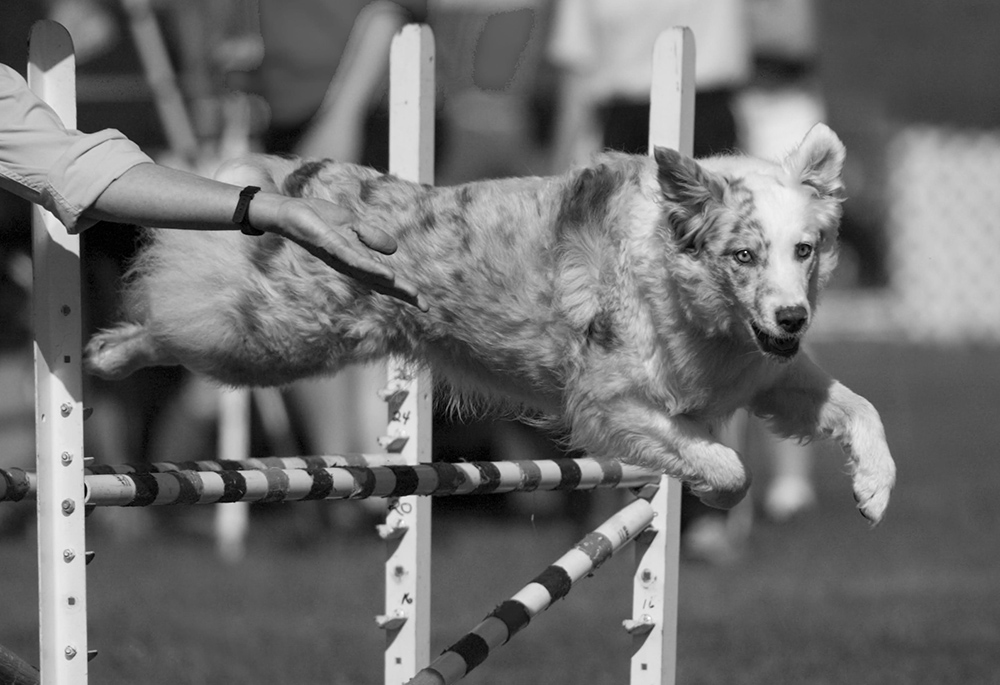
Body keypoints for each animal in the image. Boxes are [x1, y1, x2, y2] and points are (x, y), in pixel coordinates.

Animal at [84, 123, 900, 520]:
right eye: (742, 253)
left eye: (805, 248)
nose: (792, 316)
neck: (689, 297)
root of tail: (304, 179)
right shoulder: (608, 399)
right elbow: (727, 464)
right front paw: (712, 491)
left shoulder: (767, 373)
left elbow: (862, 409)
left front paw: (875, 489)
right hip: (270, 339)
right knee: (175, 310)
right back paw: (105, 354)